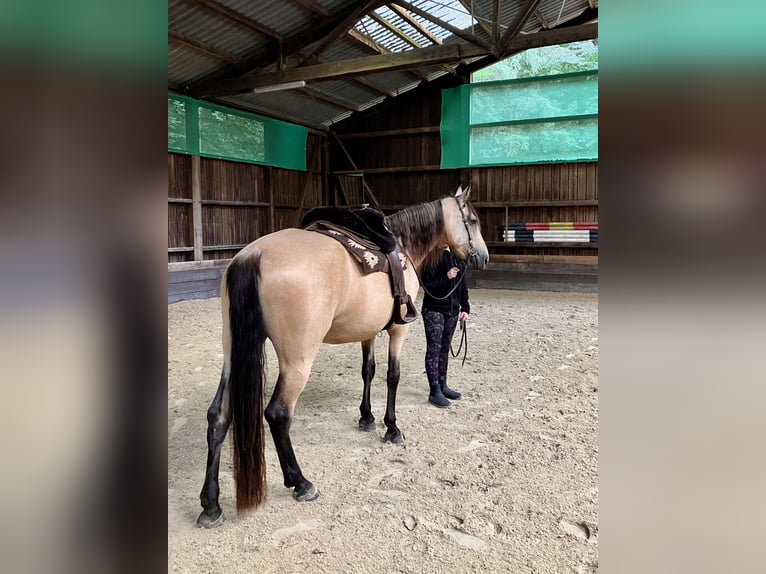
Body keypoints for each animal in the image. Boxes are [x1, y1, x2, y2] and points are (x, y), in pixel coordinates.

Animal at [197, 185, 489, 528]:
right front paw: (392, 429)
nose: (483, 256)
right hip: (297, 361)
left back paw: (210, 504)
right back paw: (301, 483)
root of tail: (253, 256)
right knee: (278, 414)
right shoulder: (398, 330)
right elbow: (392, 376)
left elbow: (368, 371)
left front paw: (366, 417)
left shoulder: (368, 331)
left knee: (218, 416)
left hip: (232, 356)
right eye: (472, 221)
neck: (402, 247)